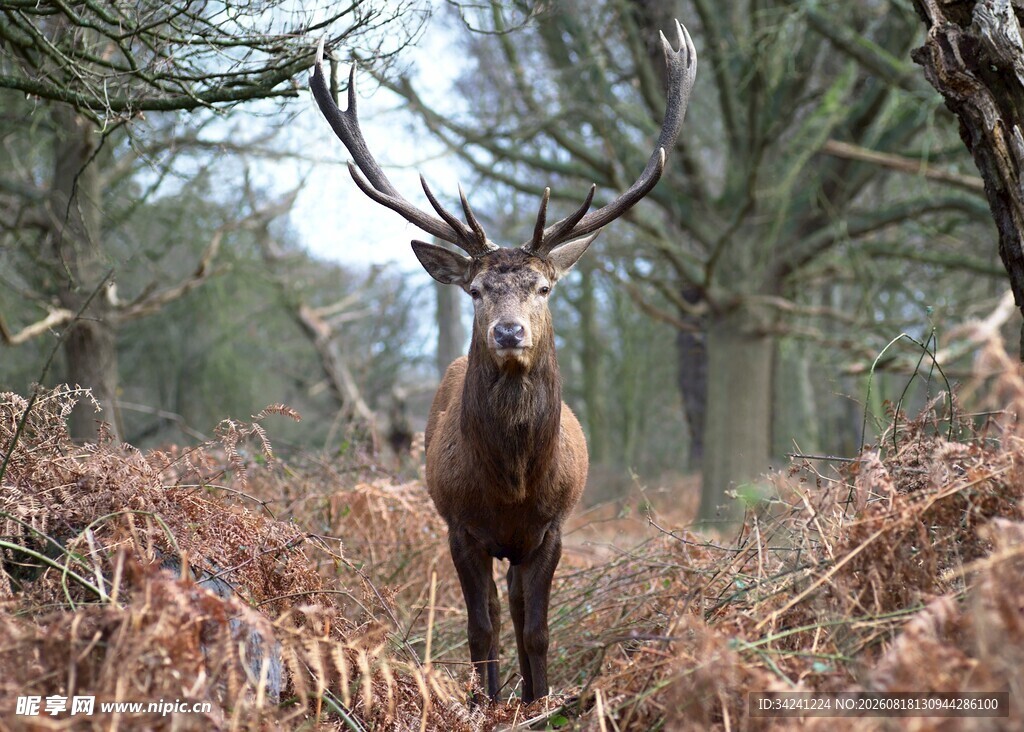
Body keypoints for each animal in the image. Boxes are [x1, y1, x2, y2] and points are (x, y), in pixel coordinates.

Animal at [310, 21, 696, 704]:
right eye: (476, 290)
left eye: (543, 288)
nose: (509, 331)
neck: (513, 483)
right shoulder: (461, 528)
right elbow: (480, 627)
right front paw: (488, 702)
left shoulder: (551, 530)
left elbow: (535, 629)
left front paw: (538, 701)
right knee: (494, 610)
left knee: (517, 606)